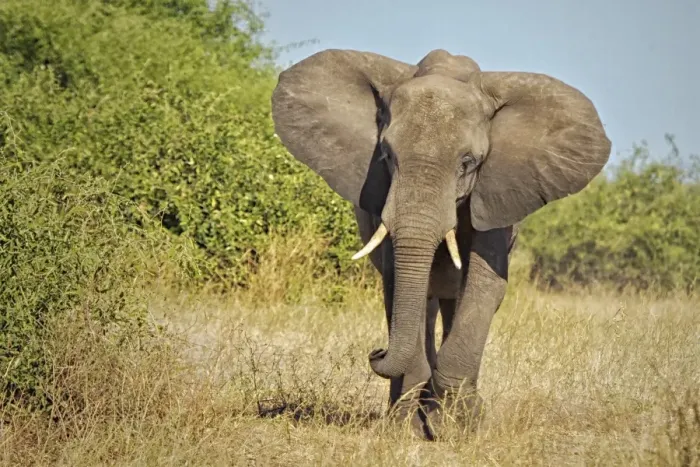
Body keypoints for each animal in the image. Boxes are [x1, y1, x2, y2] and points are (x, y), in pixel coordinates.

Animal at [270, 48, 611, 439]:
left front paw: (459, 425)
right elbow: (398, 285)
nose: (376, 352)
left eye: (468, 163)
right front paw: (410, 427)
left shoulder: (496, 192)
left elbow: (484, 283)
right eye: (387, 156)